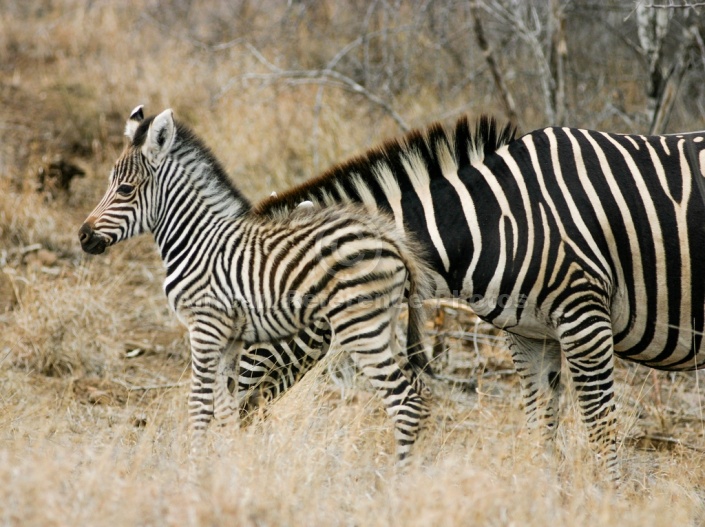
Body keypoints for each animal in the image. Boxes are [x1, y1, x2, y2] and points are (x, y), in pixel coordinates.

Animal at [239, 115, 704, 482]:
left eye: (254, 320)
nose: (232, 414)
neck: (496, 221)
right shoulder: (530, 335)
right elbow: (541, 421)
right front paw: (546, 497)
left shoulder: (584, 319)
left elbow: (599, 423)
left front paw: (607, 498)